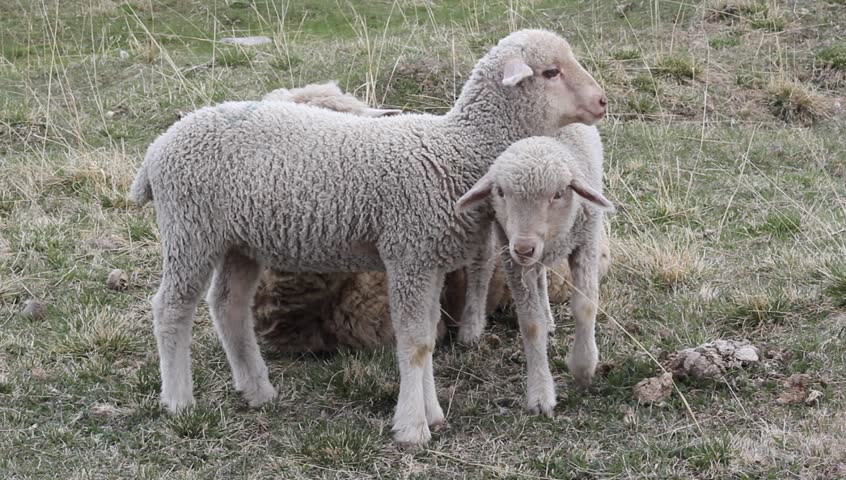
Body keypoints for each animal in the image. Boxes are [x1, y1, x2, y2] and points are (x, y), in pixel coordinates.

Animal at [455, 125, 612, 416]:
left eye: (558, 194)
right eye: (500, 192)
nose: (524, 247)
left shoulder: (586, 241)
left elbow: (585, 307)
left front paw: (584, 367)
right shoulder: (513, 259)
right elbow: (531, 324)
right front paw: (540, 394)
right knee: (500, 271)